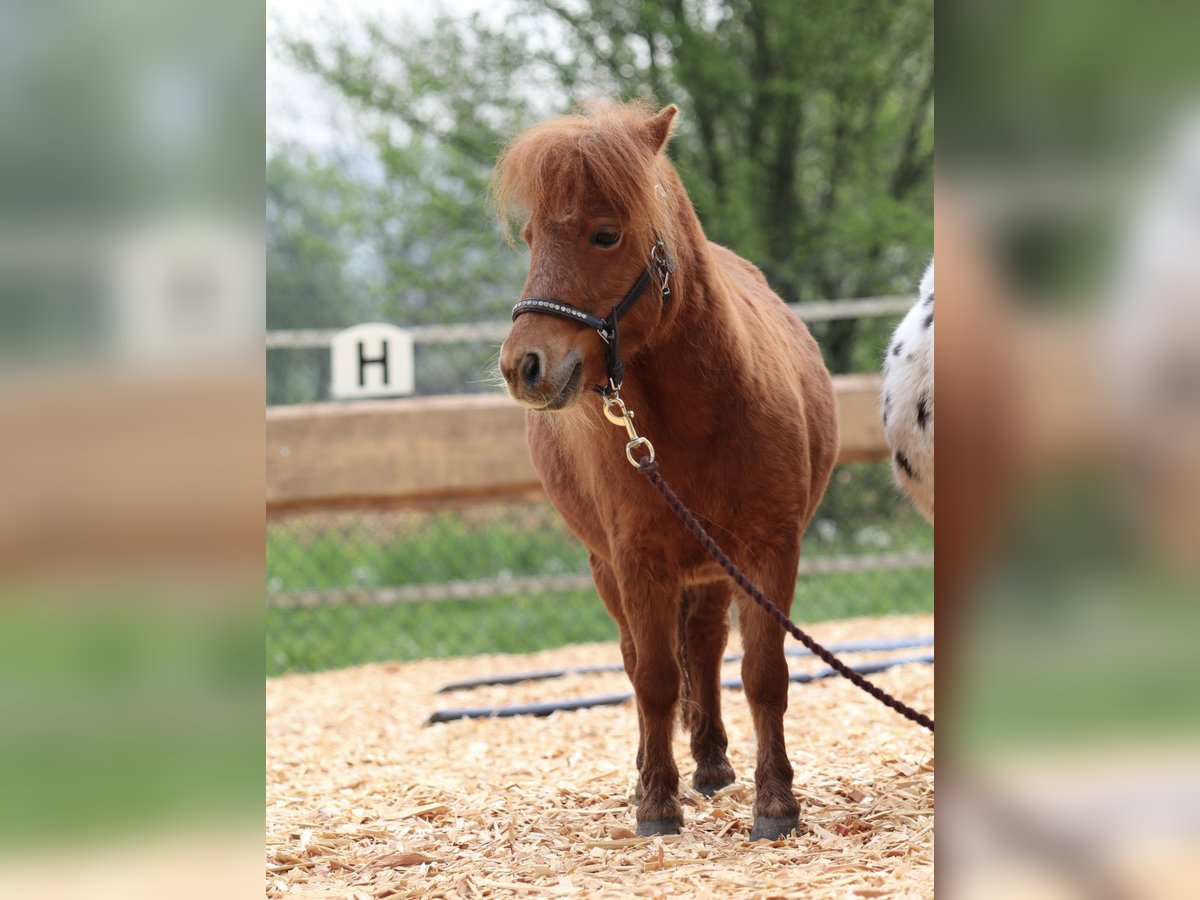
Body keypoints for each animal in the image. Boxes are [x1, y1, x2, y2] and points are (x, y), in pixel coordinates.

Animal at [492, 102, 840, 844]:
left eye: (604, 234)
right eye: (531, 237)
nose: (522, 366)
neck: (699, 415)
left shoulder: (769, 552)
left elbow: (763, 674)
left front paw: (776, 803)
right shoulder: (637, 561)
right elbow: (652, 677)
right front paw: (655, 802)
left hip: (712, 571)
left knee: (705, 649)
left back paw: (710, 763)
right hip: (611, 569)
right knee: (639, 659)